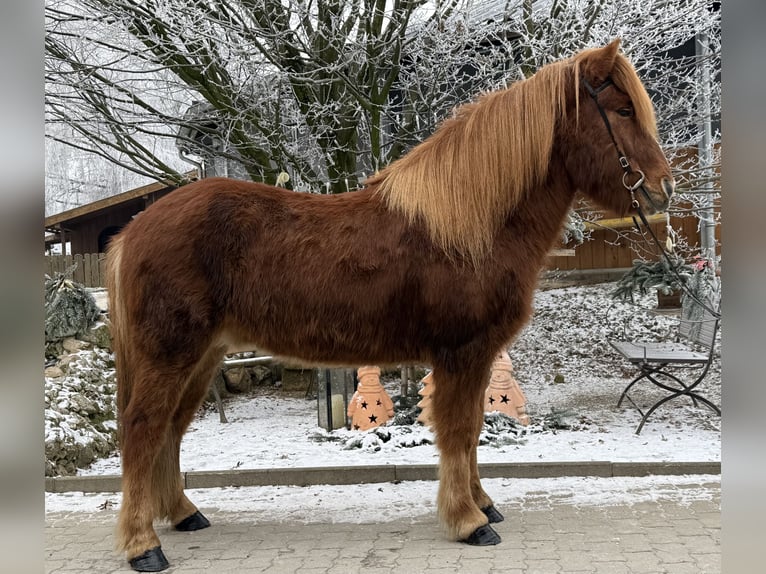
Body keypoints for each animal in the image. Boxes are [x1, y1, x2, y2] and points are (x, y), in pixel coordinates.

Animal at [107, 39, 674, 571]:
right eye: (623, 110)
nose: (663, 189)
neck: (468, 228)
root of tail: (135, 229)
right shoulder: (460, 353)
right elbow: (459, 431)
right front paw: (468, 521)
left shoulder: (477, 356)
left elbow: (472, 431)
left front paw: (483, 505)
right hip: (170, 354)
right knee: (142, 430)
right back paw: (143, 545)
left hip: (202, 358)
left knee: (170, 429)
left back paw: (183, 514)